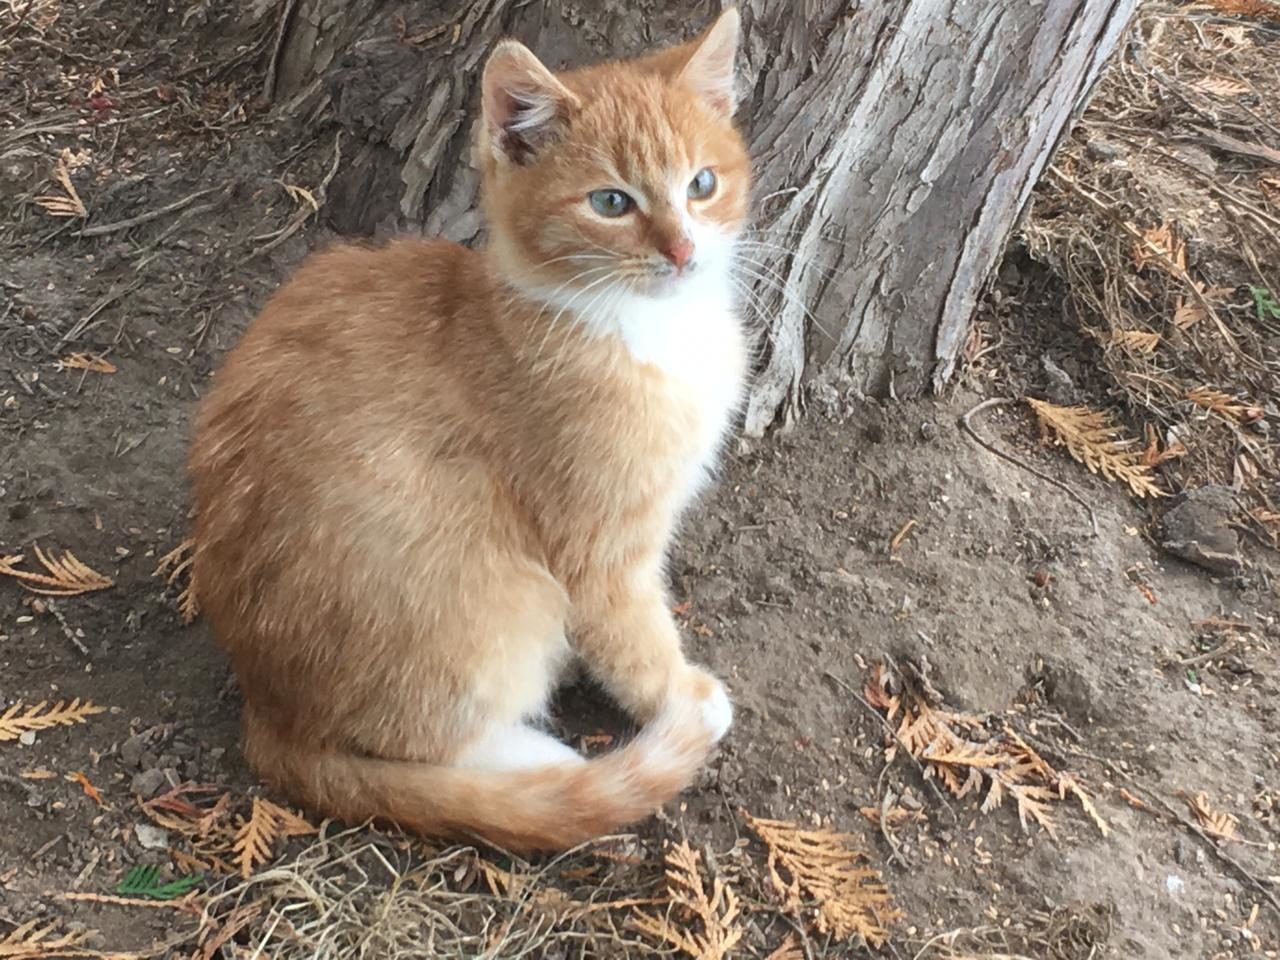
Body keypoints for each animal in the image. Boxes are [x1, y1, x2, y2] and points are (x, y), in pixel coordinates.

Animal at [186, 5, 747, 849]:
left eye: (702, 185)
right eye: (611, 203)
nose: (682, 250)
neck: (643, 330)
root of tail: (268, 713)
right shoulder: (598, 550)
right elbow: (633, 634)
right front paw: (680, 696)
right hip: (495, 597)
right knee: (439, 745)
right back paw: (541, 759)